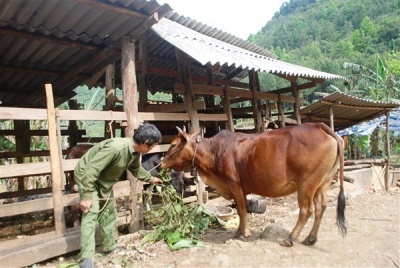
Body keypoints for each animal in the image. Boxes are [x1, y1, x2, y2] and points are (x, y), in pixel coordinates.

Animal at [161, 122, 346, 246]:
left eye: (173, 144)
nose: (161, 162)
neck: (214, 152)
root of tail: (320, 126)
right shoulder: (240, 188)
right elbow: (240, 210)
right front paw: (238, 232)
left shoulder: (233, 184)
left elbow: (242, 210)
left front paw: (245, 234)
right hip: (323, 182)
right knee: (321, 207)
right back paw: (310, 238)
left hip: (307, 184)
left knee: (307, 210)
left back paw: (289, 239)